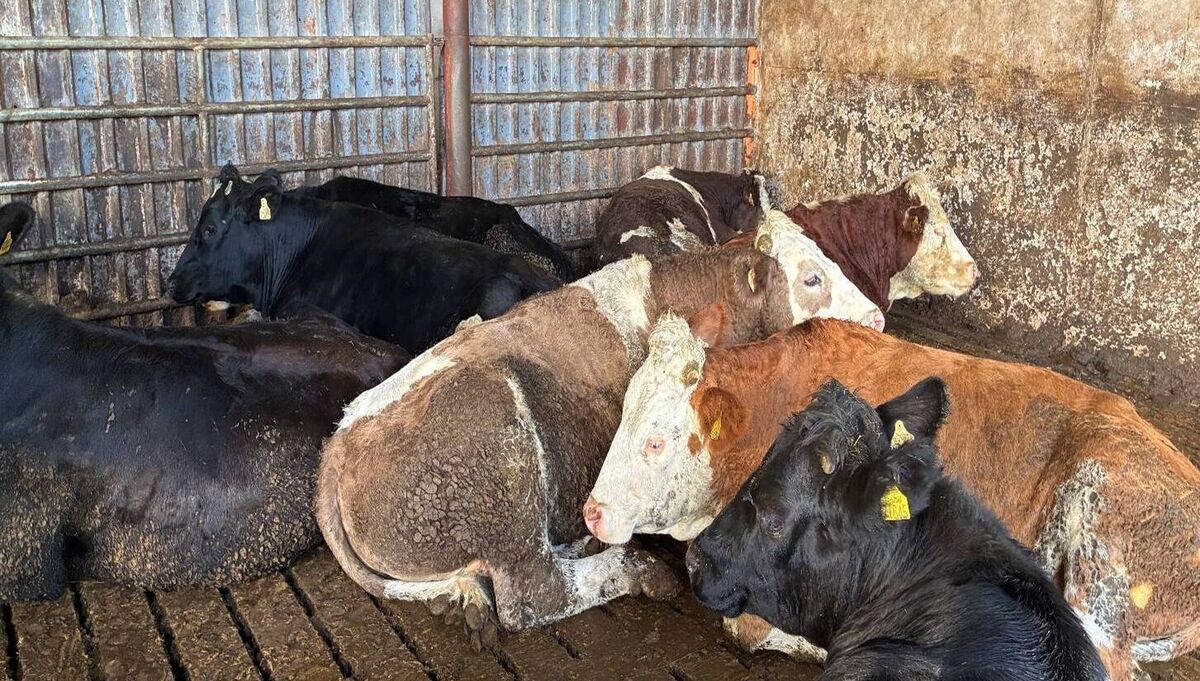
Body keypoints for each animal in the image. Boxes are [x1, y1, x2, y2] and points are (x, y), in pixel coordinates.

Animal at [314, 220, 884, 649]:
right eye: (811, 278)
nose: (877, 318)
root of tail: (337, 446)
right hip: (500, 444)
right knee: (533, 592)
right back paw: (636, 569)